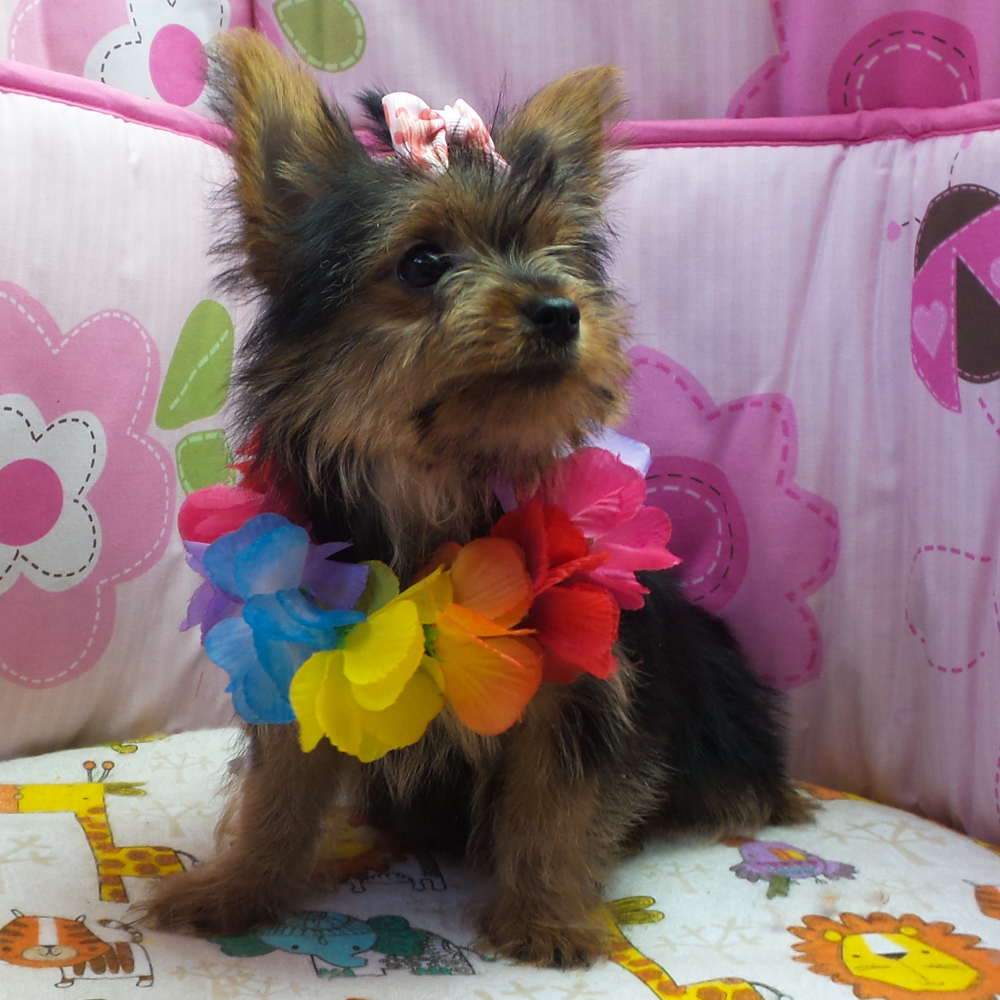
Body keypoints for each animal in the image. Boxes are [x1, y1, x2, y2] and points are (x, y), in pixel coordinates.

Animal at [143, 30, 809, 967]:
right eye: (422, 263)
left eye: (559, 257)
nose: (562, 310)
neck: (435, 484)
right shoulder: (303, 645)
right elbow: (281, 789)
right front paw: (239, 888)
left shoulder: (576, 679)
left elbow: (556, 797)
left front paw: (549, 915)